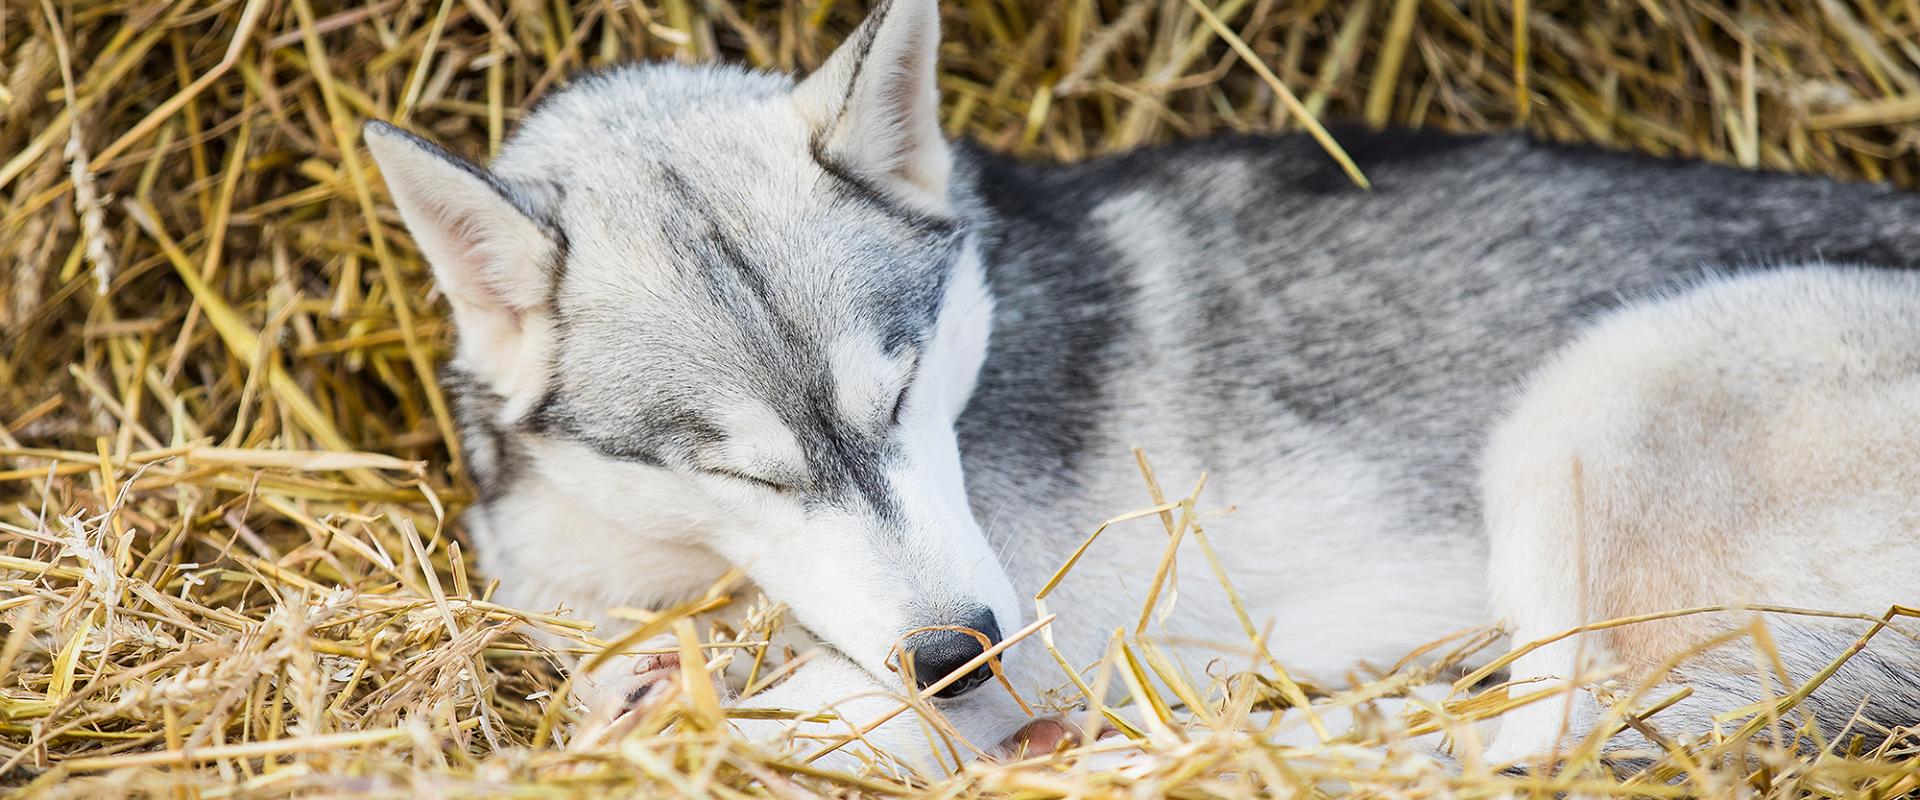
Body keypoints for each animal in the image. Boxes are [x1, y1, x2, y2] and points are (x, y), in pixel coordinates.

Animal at [366, 0, 1920, 771]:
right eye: (740, 468)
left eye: (902, 393)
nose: (961, 650)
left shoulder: (989, 655)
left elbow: (813, 714)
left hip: (1591, 402)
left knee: (1551, 736)